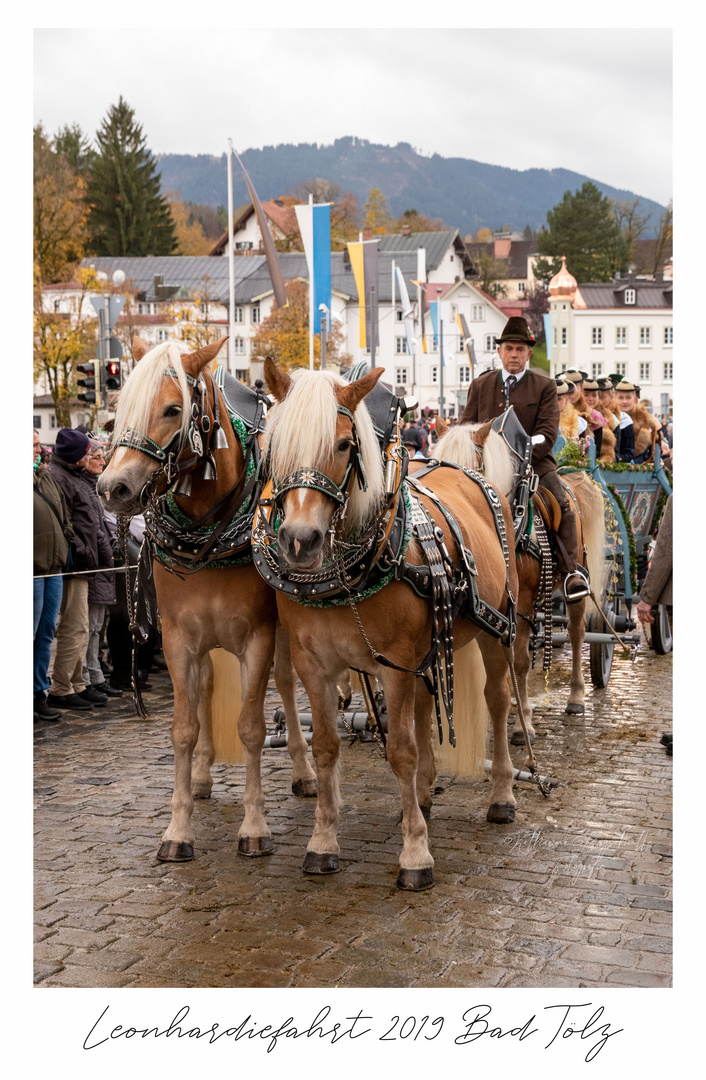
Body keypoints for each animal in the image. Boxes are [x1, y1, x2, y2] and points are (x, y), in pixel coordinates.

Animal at [95, 332, 317, 864]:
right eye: (119, 409)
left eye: (173, 409)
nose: (112, 488)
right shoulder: (177, 638)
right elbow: (184, 726)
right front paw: (178, 829)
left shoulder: (258, 636)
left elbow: (253, 727)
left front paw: (254, 827)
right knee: (207, 692)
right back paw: (200, 775)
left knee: (284, 686)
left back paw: (303, 771)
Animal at [256, 358, 522, 889]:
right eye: (275, 444)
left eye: (344, 444)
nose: (299, 541)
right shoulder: (314, 665)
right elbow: (327, 748)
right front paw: (323, 842)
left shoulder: (395, 664)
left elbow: (400, 749)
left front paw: (415, 854)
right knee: (425, 706)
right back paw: (420, 795)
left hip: (496, 627)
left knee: (498, 701)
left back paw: (501, 795)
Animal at [433, 419, 613, 743]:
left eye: (470, 468)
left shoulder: (521, 605)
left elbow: (519, 662)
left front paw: (523, 724)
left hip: (575, 581)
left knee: (577, 633)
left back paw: (576, 696)